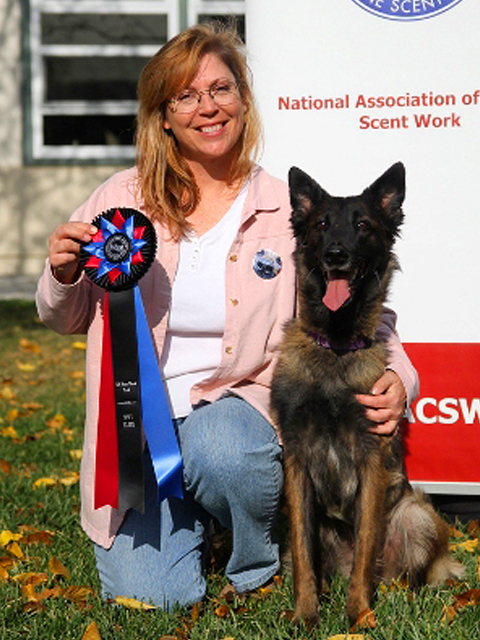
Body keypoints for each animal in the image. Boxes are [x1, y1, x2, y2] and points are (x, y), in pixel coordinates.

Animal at [270, 162, 462, 628]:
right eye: (322, 225)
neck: (337, 347)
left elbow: (364, 551)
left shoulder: (370, 461)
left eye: (362, 226)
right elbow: (304, 555)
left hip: (417, 516)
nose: (336, 255)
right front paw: (306, 615)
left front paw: (357, 616)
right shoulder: (296, 464)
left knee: (397, 575)